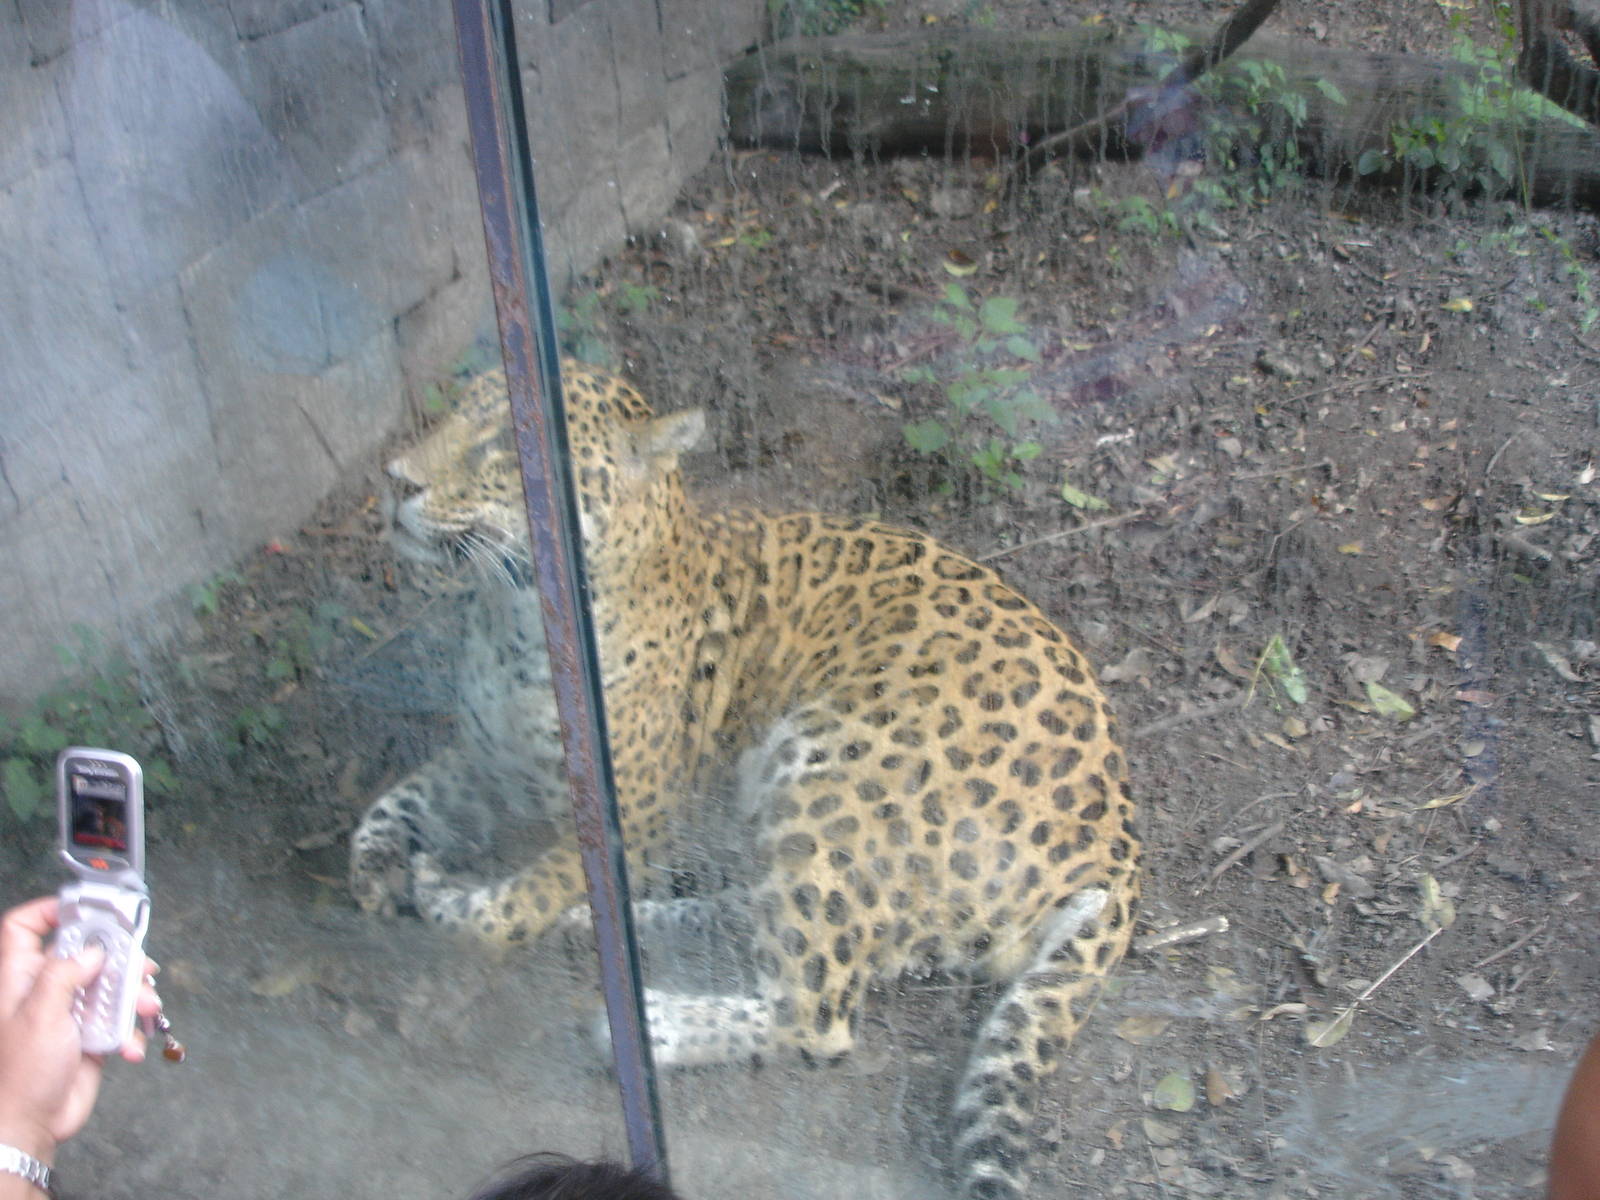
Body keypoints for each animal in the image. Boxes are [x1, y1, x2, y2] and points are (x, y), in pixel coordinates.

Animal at [349, 360, 1141, 1200]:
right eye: (453, 416)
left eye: (504, 444)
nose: (395, 479)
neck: (511, 616)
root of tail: (1122, 843)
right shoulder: (486, 761)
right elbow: (390, 807)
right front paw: (377, 870)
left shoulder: (630, 818)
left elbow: (505, 909)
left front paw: (444, 897)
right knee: (754, 919)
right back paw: (605, 928)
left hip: (831, 769)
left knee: (815, 1015)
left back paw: (645, 1020)